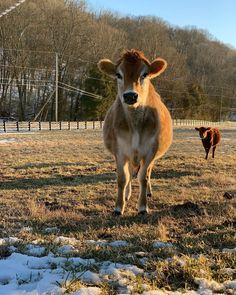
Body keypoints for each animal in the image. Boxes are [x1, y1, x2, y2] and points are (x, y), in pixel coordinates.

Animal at [97, 49, 172, 215]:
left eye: (144, 74)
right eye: (118, 75)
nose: (130, 95)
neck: (135, 124)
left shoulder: (151, 150)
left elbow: (143, 177)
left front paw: (143, 207)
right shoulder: (119, 150)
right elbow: (122, 178)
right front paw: (119, 207)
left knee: (147, 173)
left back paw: (148, 192)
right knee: (130, 173)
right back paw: (127, 194)